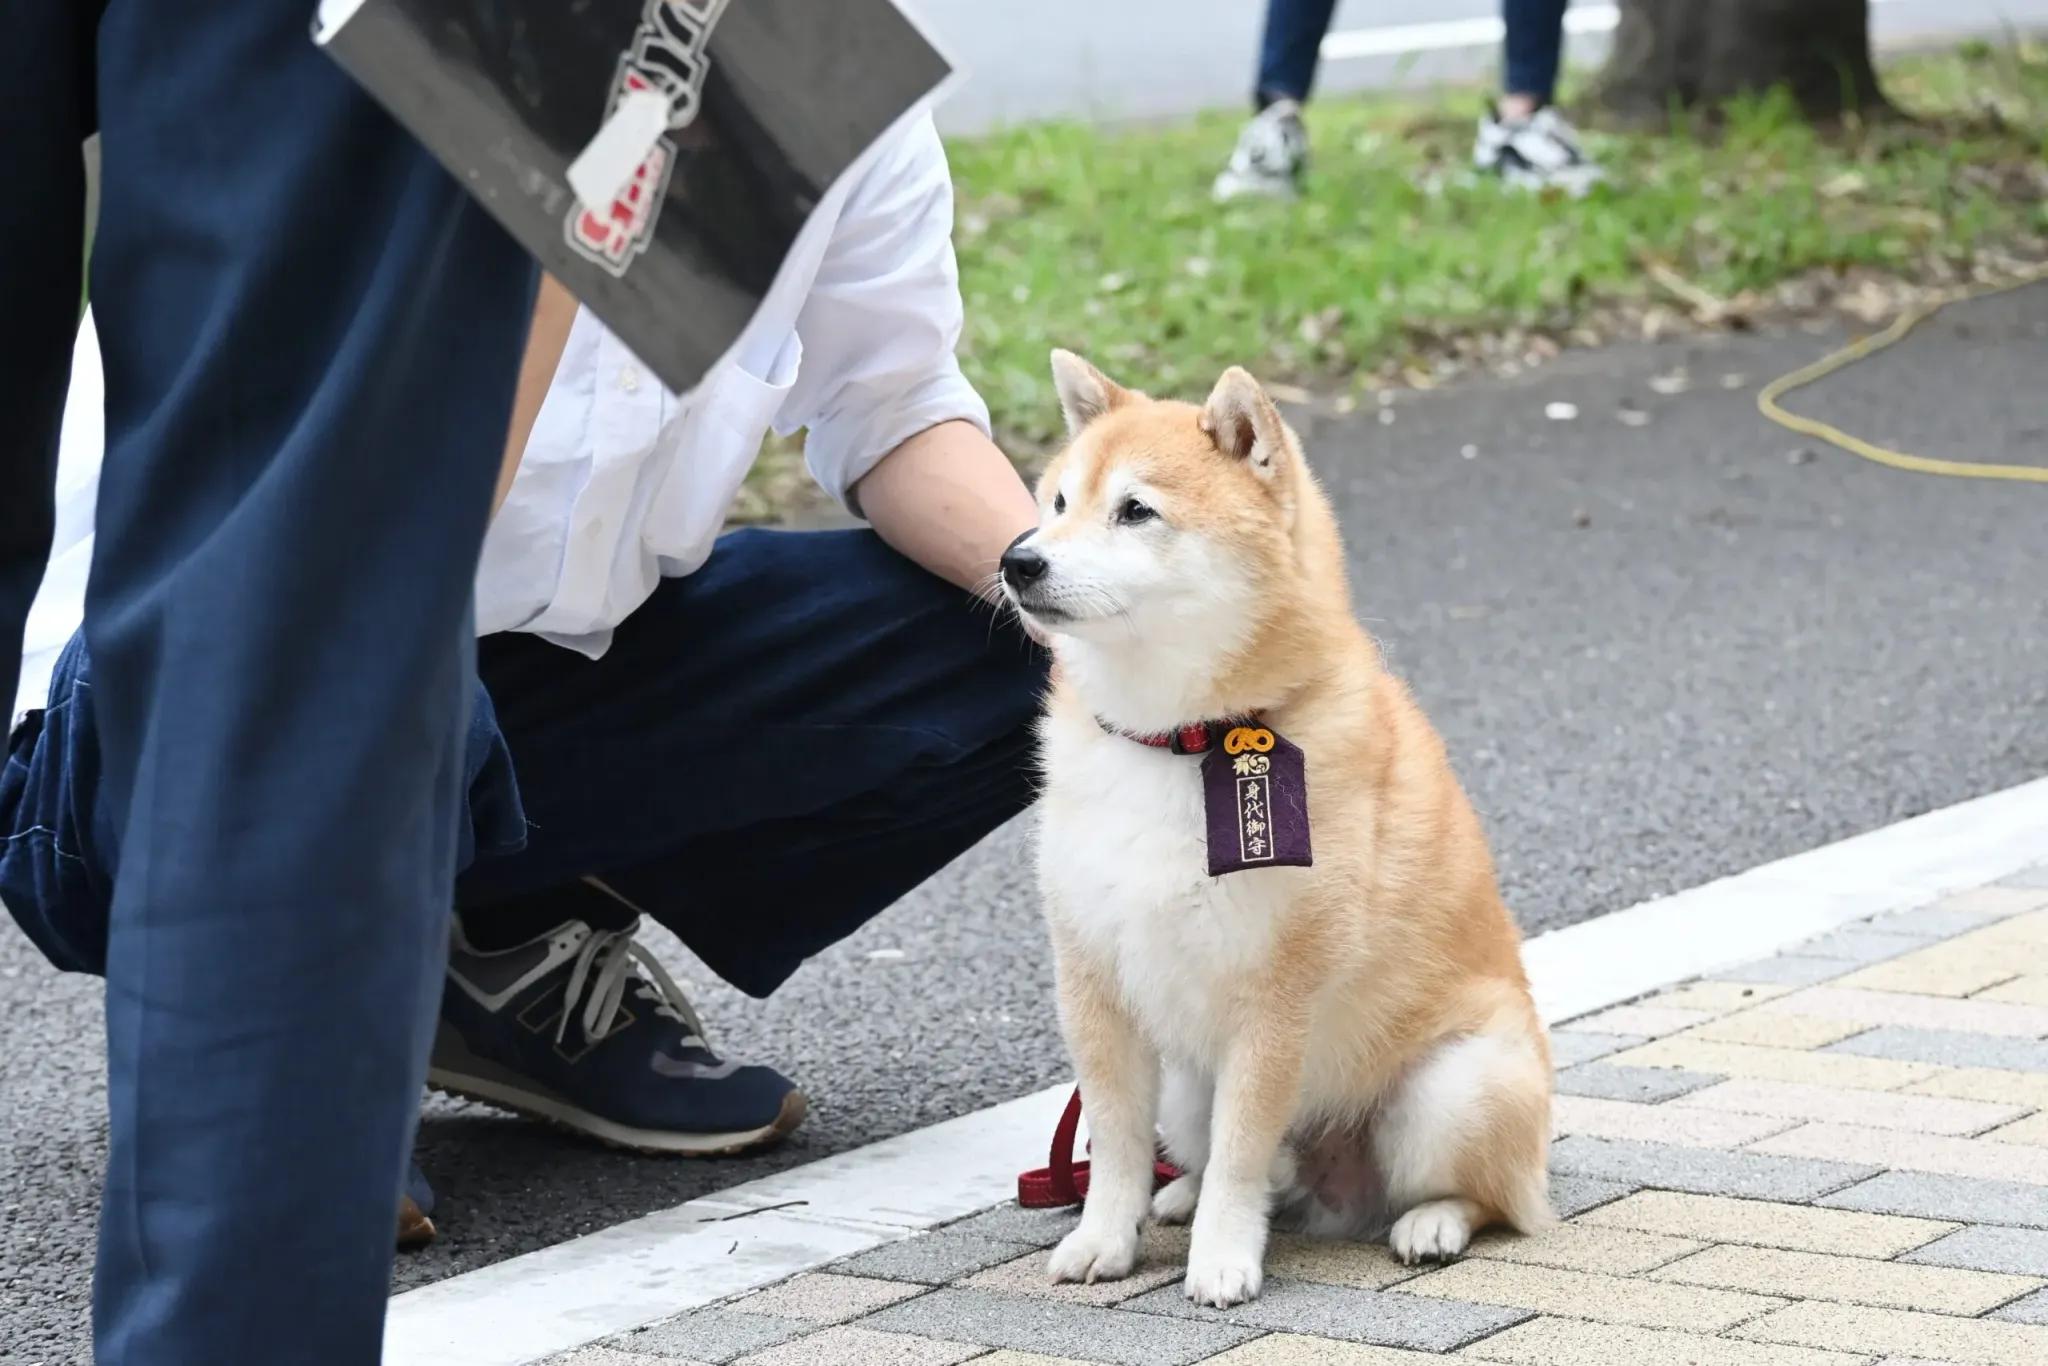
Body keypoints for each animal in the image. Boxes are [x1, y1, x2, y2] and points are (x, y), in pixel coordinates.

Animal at [1003, 356, 1548, 1310]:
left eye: (1135, 510)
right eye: (1059, 501)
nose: (1018, 559)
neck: (1178, 741)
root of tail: (1337, 1180)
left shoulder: (1274, 998)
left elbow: (1241, 1153)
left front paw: (1223, 1259)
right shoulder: (1093, 975)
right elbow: (1114, 1143)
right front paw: (1103, 1238)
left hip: (1452, 1090)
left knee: (1487, 1195)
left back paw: (1432, 1223)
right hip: (1188, 1090)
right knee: (1238, 1164)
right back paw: (1177, 1194)